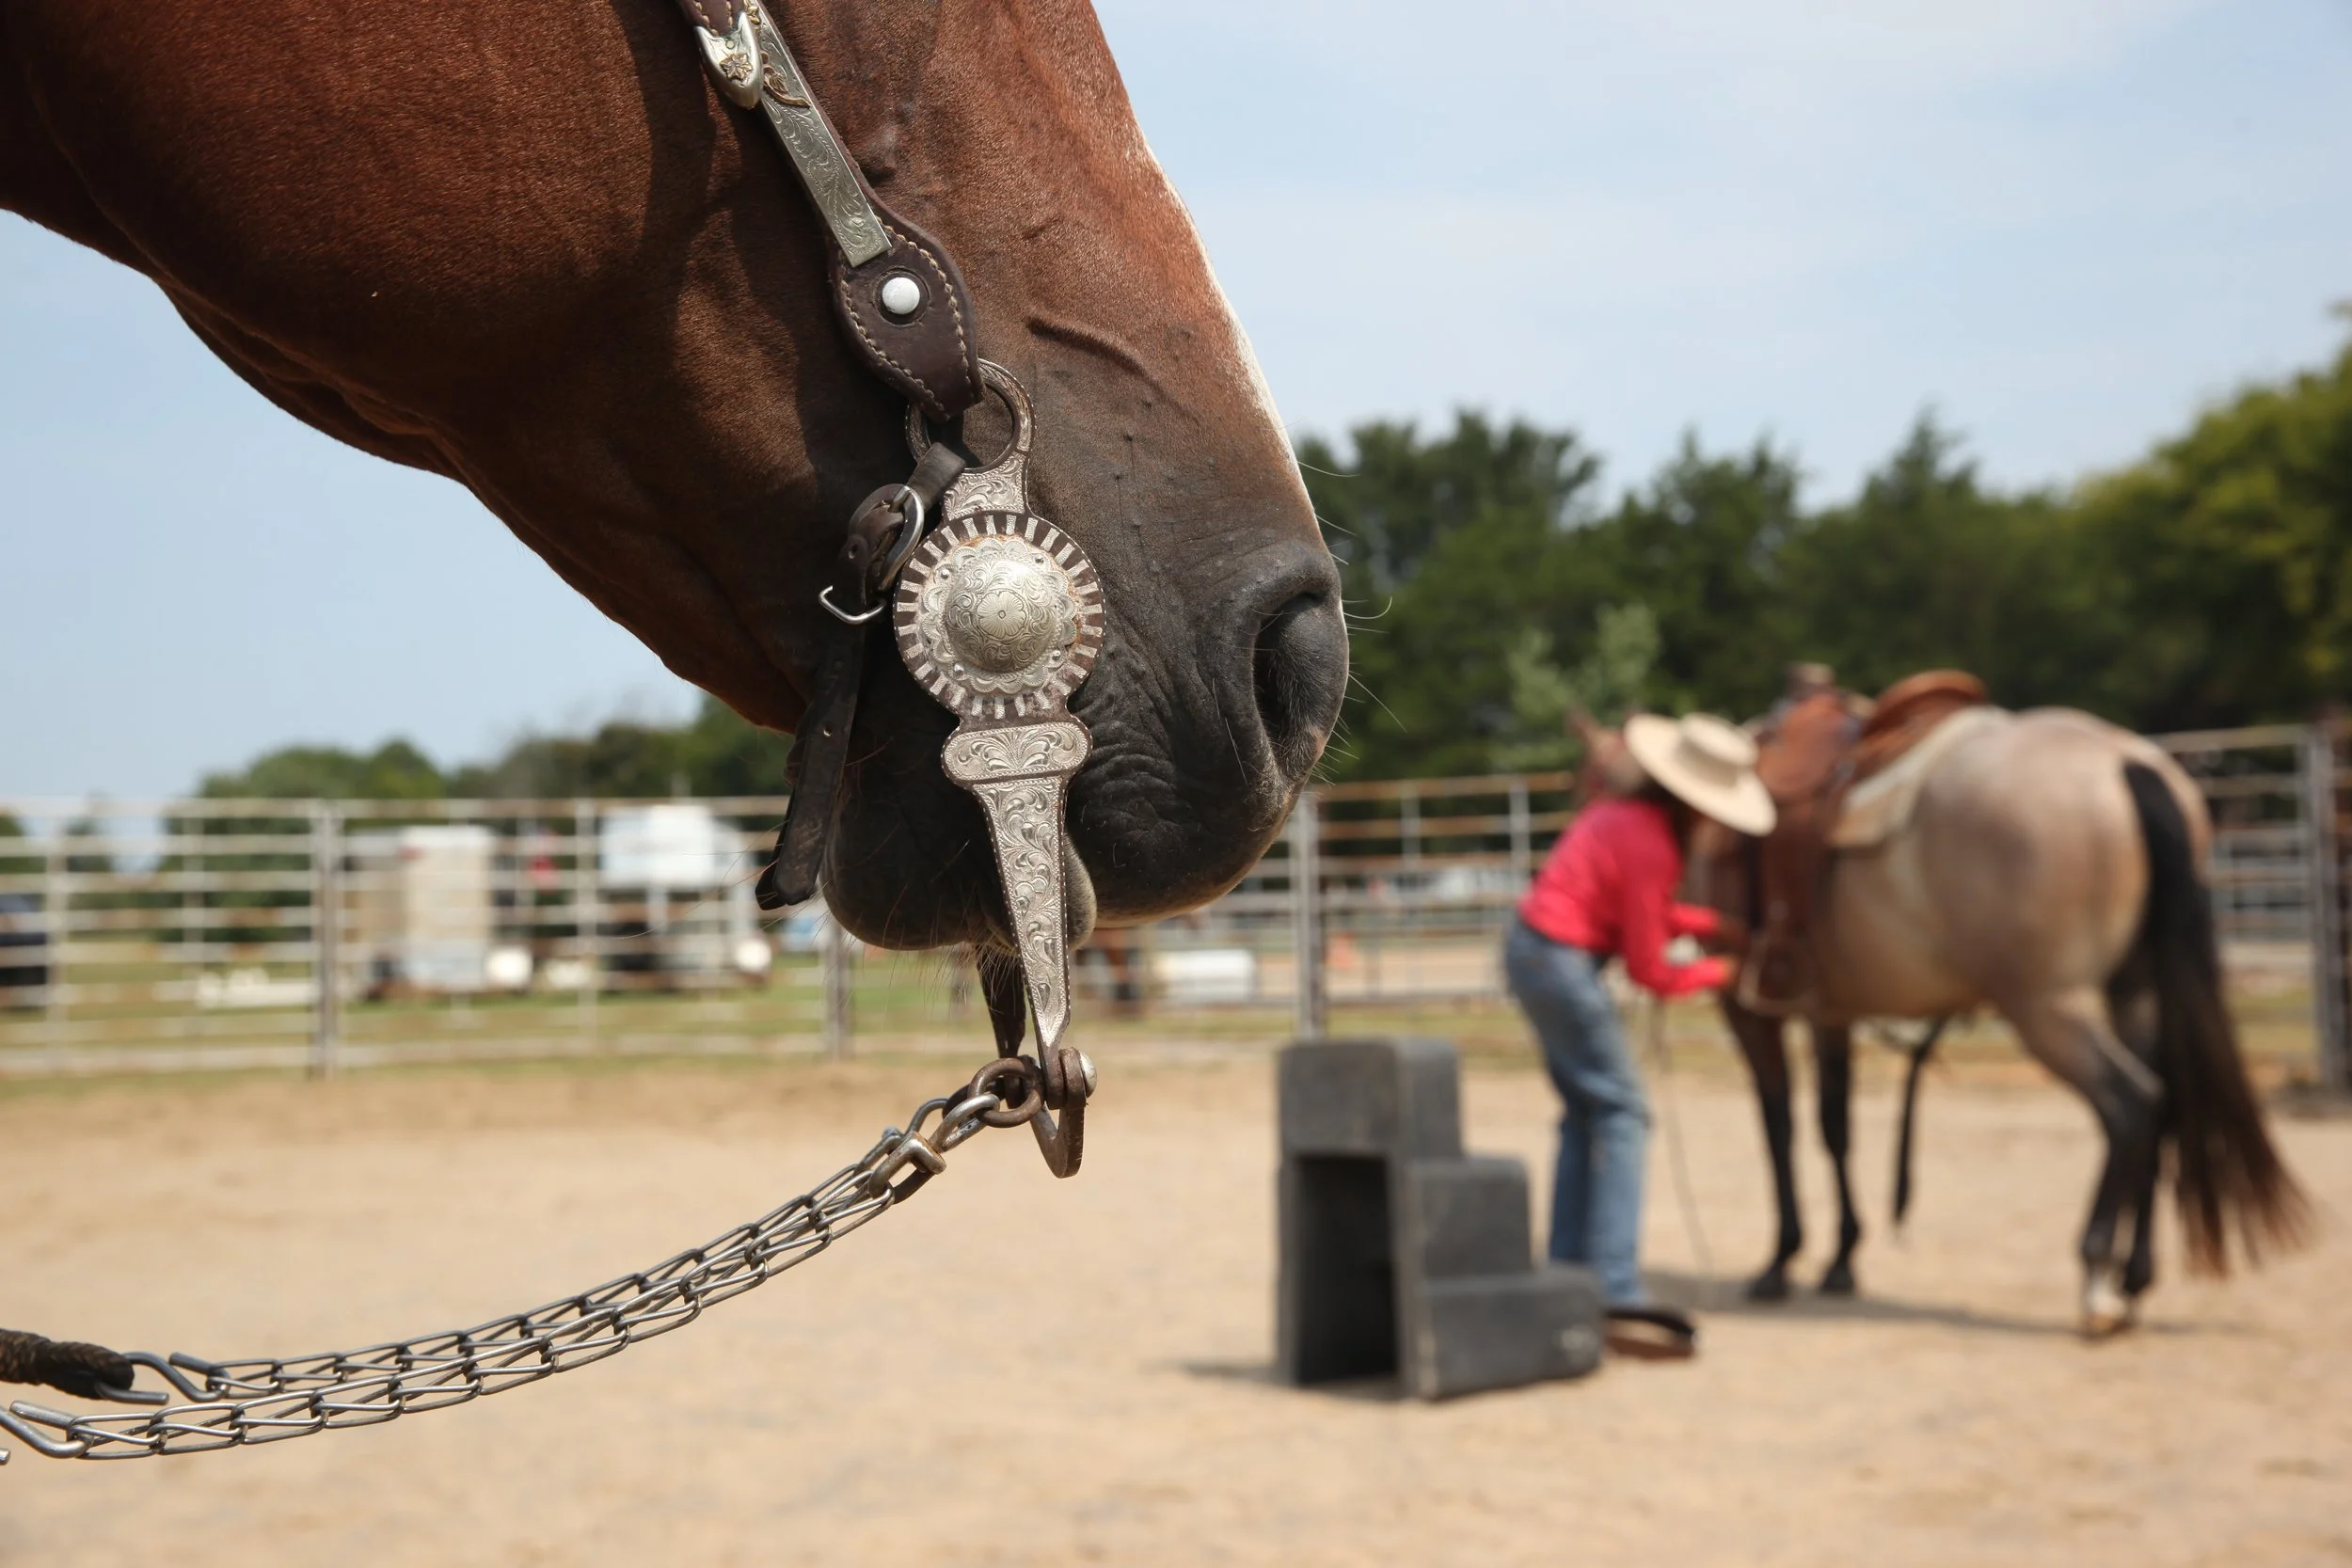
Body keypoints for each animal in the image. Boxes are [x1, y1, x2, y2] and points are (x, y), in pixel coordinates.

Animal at [1690, 700, 2309, 1334]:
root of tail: (2127, 763)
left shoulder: (1748, 1009)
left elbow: (1779, 1127)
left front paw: (1780, 1261)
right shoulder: (1829, 1011)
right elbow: (1835, 1127)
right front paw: (1840, 1260)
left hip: (2046, 1007)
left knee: (2130, 1102)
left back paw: (2096, 1279)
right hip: (2133, 990)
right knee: (2162, 1105)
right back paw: (2134, 1279)